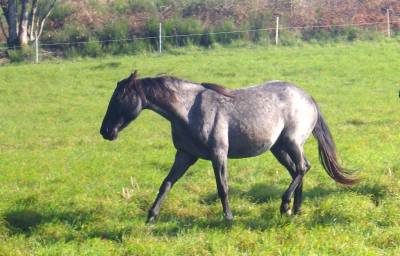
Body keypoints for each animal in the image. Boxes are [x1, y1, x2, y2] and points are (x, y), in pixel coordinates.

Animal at [99, 71, 356, 223]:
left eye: (120, 98)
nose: (105, 131)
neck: (188, 111)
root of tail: (309, 98)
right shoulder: (184, 155)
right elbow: (166, 184)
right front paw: (151, 217)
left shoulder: (218, 154)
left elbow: (222, 187)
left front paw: (229, 218)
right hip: (279, 148)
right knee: (298, 170)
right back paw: (296, 209)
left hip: (292, 142)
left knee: (302, 168)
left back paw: (285, 206)